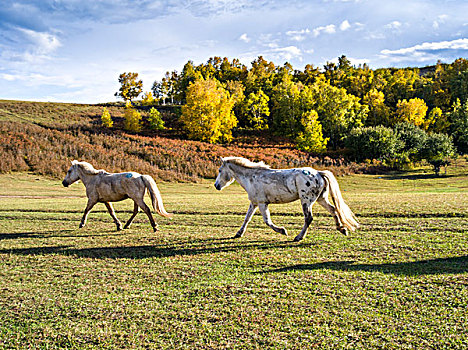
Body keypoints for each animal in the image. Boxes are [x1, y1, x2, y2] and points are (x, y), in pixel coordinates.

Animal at [214, 157, 360, 242]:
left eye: (220, 170)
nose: (216, 186)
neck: (252, 177)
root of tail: (318, 173)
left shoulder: (262, 203)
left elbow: (267, 221)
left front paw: (283, 231)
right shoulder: (254, 203)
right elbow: (247, 219)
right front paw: (238, 233)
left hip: (306, 201)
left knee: (309, 218)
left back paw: (299, 237)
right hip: (321, 199)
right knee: (334, 210)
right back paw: (342, 229)